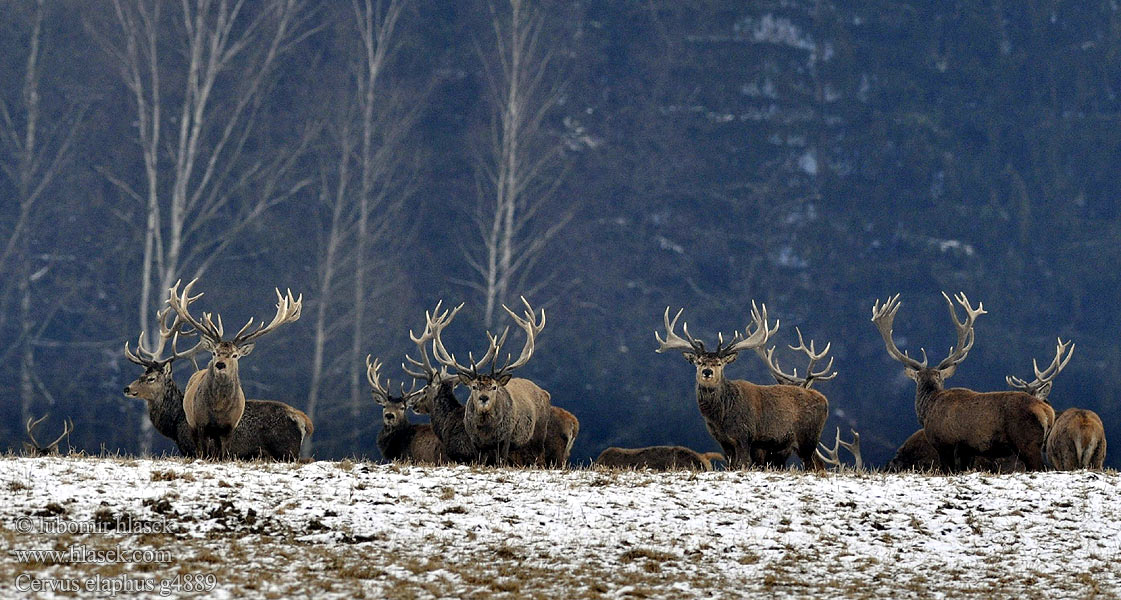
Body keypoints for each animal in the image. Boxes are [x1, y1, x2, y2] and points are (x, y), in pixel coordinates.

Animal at [163, 279, 300, 457]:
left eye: (235, 355)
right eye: (214, 352)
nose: (220, 364)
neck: (219, 409)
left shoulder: (229, 427)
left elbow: (224, 455)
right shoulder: (200, 423)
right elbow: (203, 451)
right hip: (191, 421)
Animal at [654, 305, 829, 468]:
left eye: (719, 363)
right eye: (699, 362)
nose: (707, 372)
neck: (721, 417)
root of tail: (824, 400)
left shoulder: (745, 436)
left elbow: (743, 463)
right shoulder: (723, 441)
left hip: (808, 438)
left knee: (816, 466)